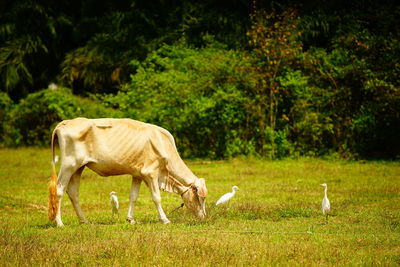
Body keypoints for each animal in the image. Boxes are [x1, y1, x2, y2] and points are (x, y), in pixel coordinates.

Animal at [48, 118, 208, 227]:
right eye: (199, 197)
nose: (204, 217)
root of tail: (64, 123)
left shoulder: (137, 174)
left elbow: (133, 197)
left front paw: (131, 219)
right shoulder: (151, 173)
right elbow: (156, 198)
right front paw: (165, 219)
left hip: (78, 168)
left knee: (73, 192)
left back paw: (84, 220)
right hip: (69, 165)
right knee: (59, 190)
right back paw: (59, 223)